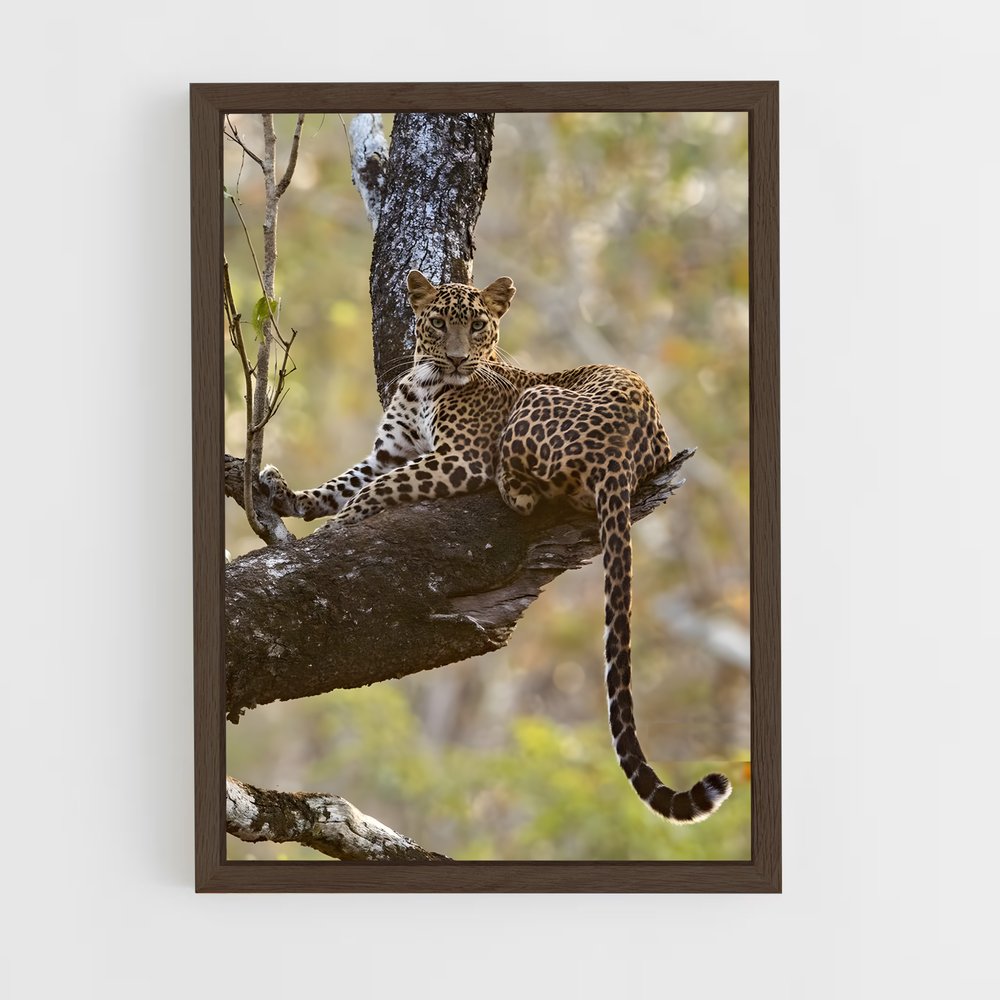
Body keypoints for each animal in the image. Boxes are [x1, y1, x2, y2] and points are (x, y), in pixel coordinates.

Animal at [261, 269, 732, 824]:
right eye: (438, 323)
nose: (458, 359)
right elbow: (344, 483)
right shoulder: (389, 452)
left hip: (533, 406)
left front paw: (335, 532)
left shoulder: (459, 459)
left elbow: (375, 490)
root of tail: (624, 455)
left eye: (478, 325)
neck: (423, 383)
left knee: (528, 494)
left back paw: (512, 484)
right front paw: (288, 495)